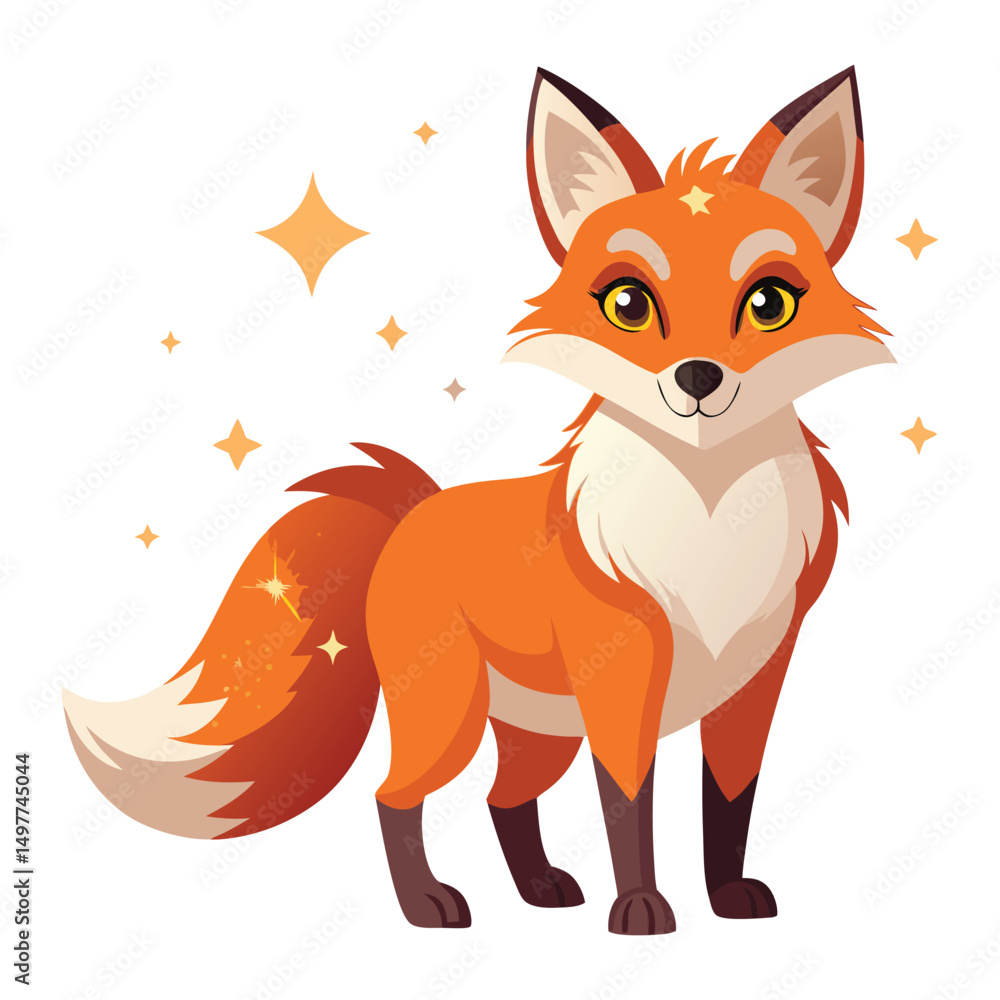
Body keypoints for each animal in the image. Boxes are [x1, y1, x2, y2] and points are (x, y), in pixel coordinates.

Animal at [65, 66, 894, 935]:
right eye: (628, 304)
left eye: (768, 303)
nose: (699, 376)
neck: (708, 525)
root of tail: (413, 508)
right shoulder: (620, 679)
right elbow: (628, 803)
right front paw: (639, 908)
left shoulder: (758, 679)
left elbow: (730, 800)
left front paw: (727, 898)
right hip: (450, 716)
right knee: (393, 795)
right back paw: (428, 905)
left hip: (537, 734)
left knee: (503, 799)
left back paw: (539, 889)